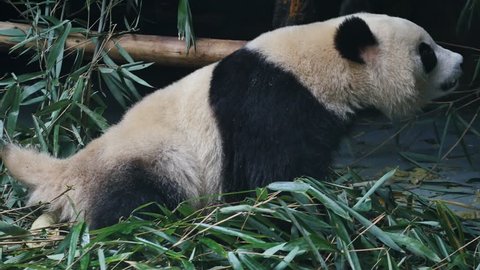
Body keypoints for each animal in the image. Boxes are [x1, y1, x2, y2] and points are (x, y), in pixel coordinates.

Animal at [0, 12, 464, 228]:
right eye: (426, 52)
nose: (461, 63)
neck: (323, 63)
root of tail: (68, 172)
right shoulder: (274, 103)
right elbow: (272, 173)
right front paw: (310, 205)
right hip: (150, 161)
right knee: (133, 205)